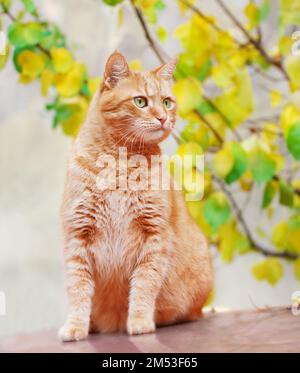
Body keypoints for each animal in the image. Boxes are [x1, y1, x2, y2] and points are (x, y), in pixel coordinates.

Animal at [58, 51, 213, 340]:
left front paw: (140, 320)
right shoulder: (77, 236)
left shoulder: (155, 236)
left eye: (167, 102)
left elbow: (144, 284)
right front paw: (76, 325)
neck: (120, 163)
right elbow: (78, 289)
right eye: (140, 101)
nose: (164, 118)